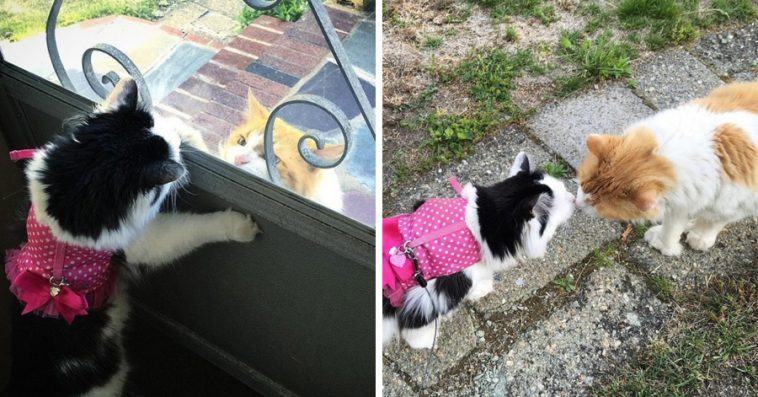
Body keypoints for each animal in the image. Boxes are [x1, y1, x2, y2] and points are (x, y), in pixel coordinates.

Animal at [386, 152, 576, 346]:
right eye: (563, 203)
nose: (574, 198)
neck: (479, 223)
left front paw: (481, 288)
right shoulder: (433, 292)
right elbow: (418, 323)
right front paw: (426, 342)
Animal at [580, 81, 756, 256]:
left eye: (596, 205)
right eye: (581, 185)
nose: (577, 203)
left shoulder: (733, 205)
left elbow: (711, 222)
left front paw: (699, 238)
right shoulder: (683, 199)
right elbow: (673, 225)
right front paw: (664, 243)